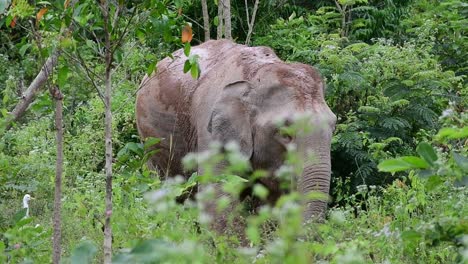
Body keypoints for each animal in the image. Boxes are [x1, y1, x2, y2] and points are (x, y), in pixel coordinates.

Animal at [135, 39, 336, 235]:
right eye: (285, 134)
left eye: (333, 128)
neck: (256, 76)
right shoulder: (210, 131)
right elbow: (217, 199)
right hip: (149, 142)